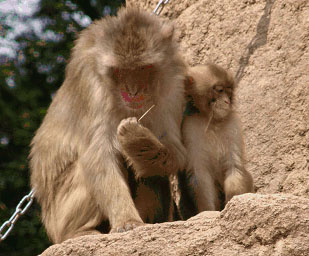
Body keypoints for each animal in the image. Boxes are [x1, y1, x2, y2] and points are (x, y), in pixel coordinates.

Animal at [30, 7, 186, 243]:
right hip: (59, 217)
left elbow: (176, 151)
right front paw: (127, 221)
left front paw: (139, 143)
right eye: (119, 71)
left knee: (151, 172)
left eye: (143, 68)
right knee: (86, 167)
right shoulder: (90, 84)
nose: (133, 91)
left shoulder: (175, 85)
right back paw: (79, 231)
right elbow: (99, 155)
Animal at [180, 63, 253, 213]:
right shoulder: (189, 127)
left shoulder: (233, 124)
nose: (226, 101)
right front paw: (208, 211)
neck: (213, 121)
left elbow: (233, 167)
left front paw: (233, 204)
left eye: (229, 92)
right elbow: (200, 173)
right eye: (219, 90)